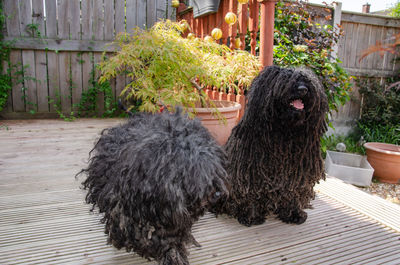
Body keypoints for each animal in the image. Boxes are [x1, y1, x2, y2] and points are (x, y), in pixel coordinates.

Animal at [217, 65, 330, 226]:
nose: (303, 89)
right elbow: (251, 194)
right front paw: (252, 216)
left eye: (307, 81)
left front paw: (294, 213)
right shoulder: (250, 173)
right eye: (285, 80)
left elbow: (293, 193)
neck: (284, 132)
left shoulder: (297, 175)